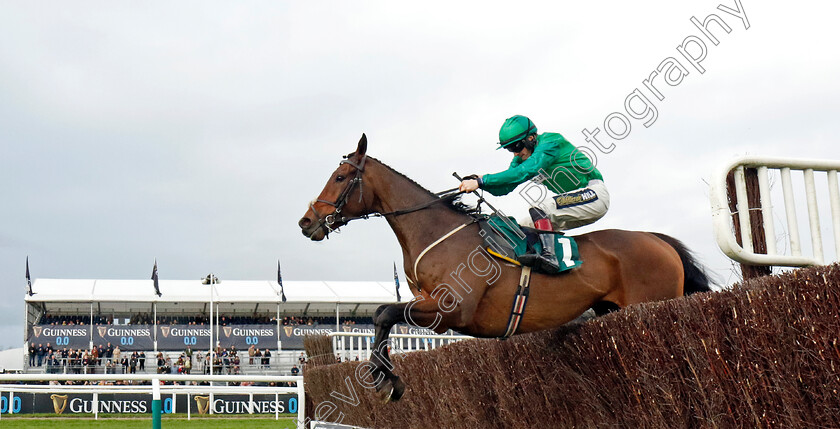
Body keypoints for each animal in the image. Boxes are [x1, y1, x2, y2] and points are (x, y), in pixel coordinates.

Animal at [296, 134, 708, 402]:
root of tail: (657, 239)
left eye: (340, 177)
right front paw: (384, 376)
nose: (306, 222)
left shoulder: (450, 311)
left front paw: (386, 379)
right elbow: (383, 314)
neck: (438, 232)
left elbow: (383, 313)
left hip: (648, 302)